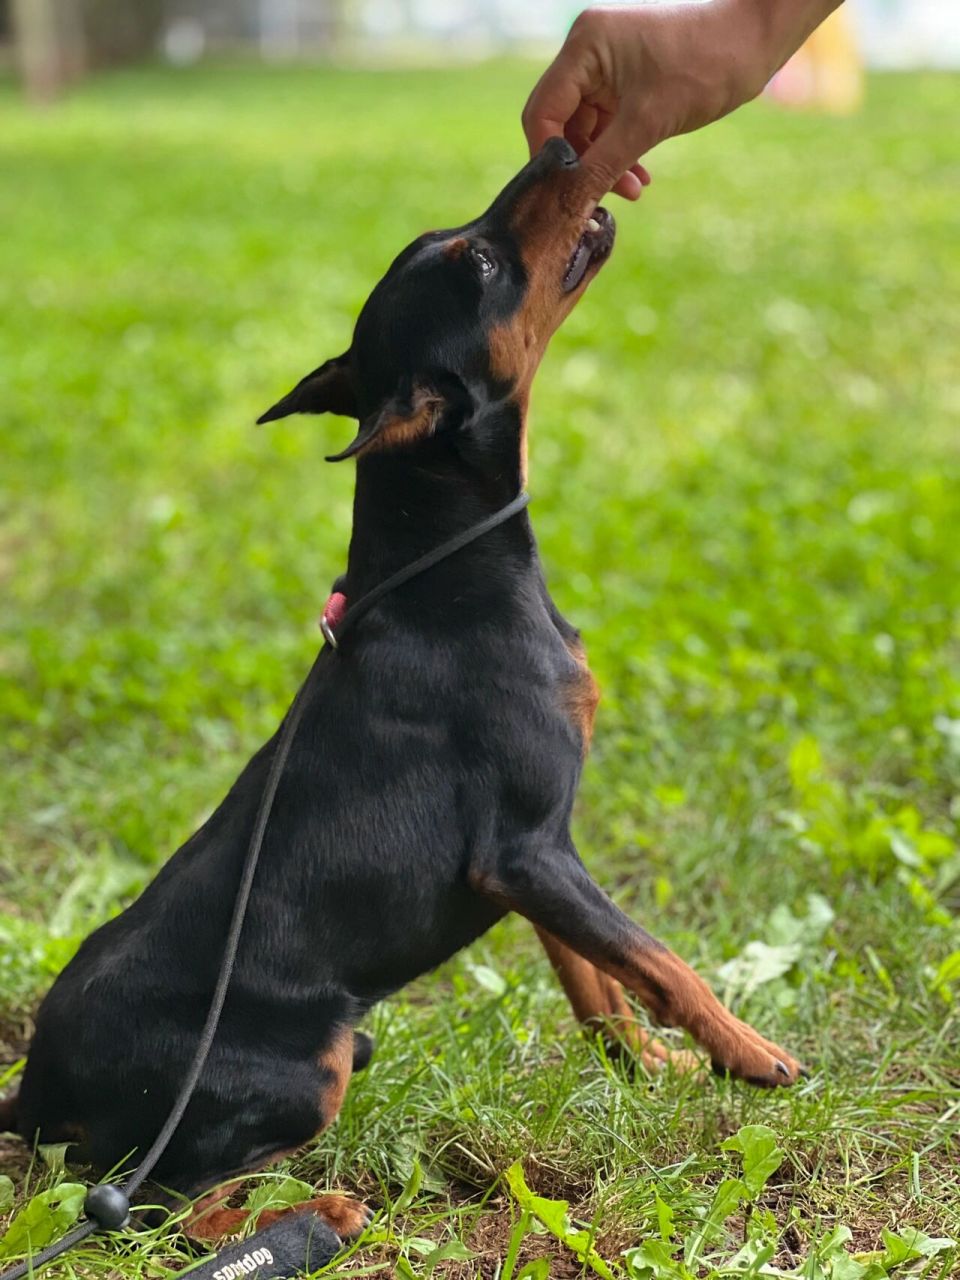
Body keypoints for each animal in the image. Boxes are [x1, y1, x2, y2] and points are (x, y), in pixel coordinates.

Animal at [1, 137, 803, 1239]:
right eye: (482, 265)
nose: (560, 146)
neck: (445, 565)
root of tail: (33, 1088)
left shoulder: (529, 861)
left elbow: (595, 981)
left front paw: (652, 1067)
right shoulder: (528, 847)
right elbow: (658, 961)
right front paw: (751, 1054)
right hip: (309, 1065)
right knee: (154, 1206)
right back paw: (322, 1213)